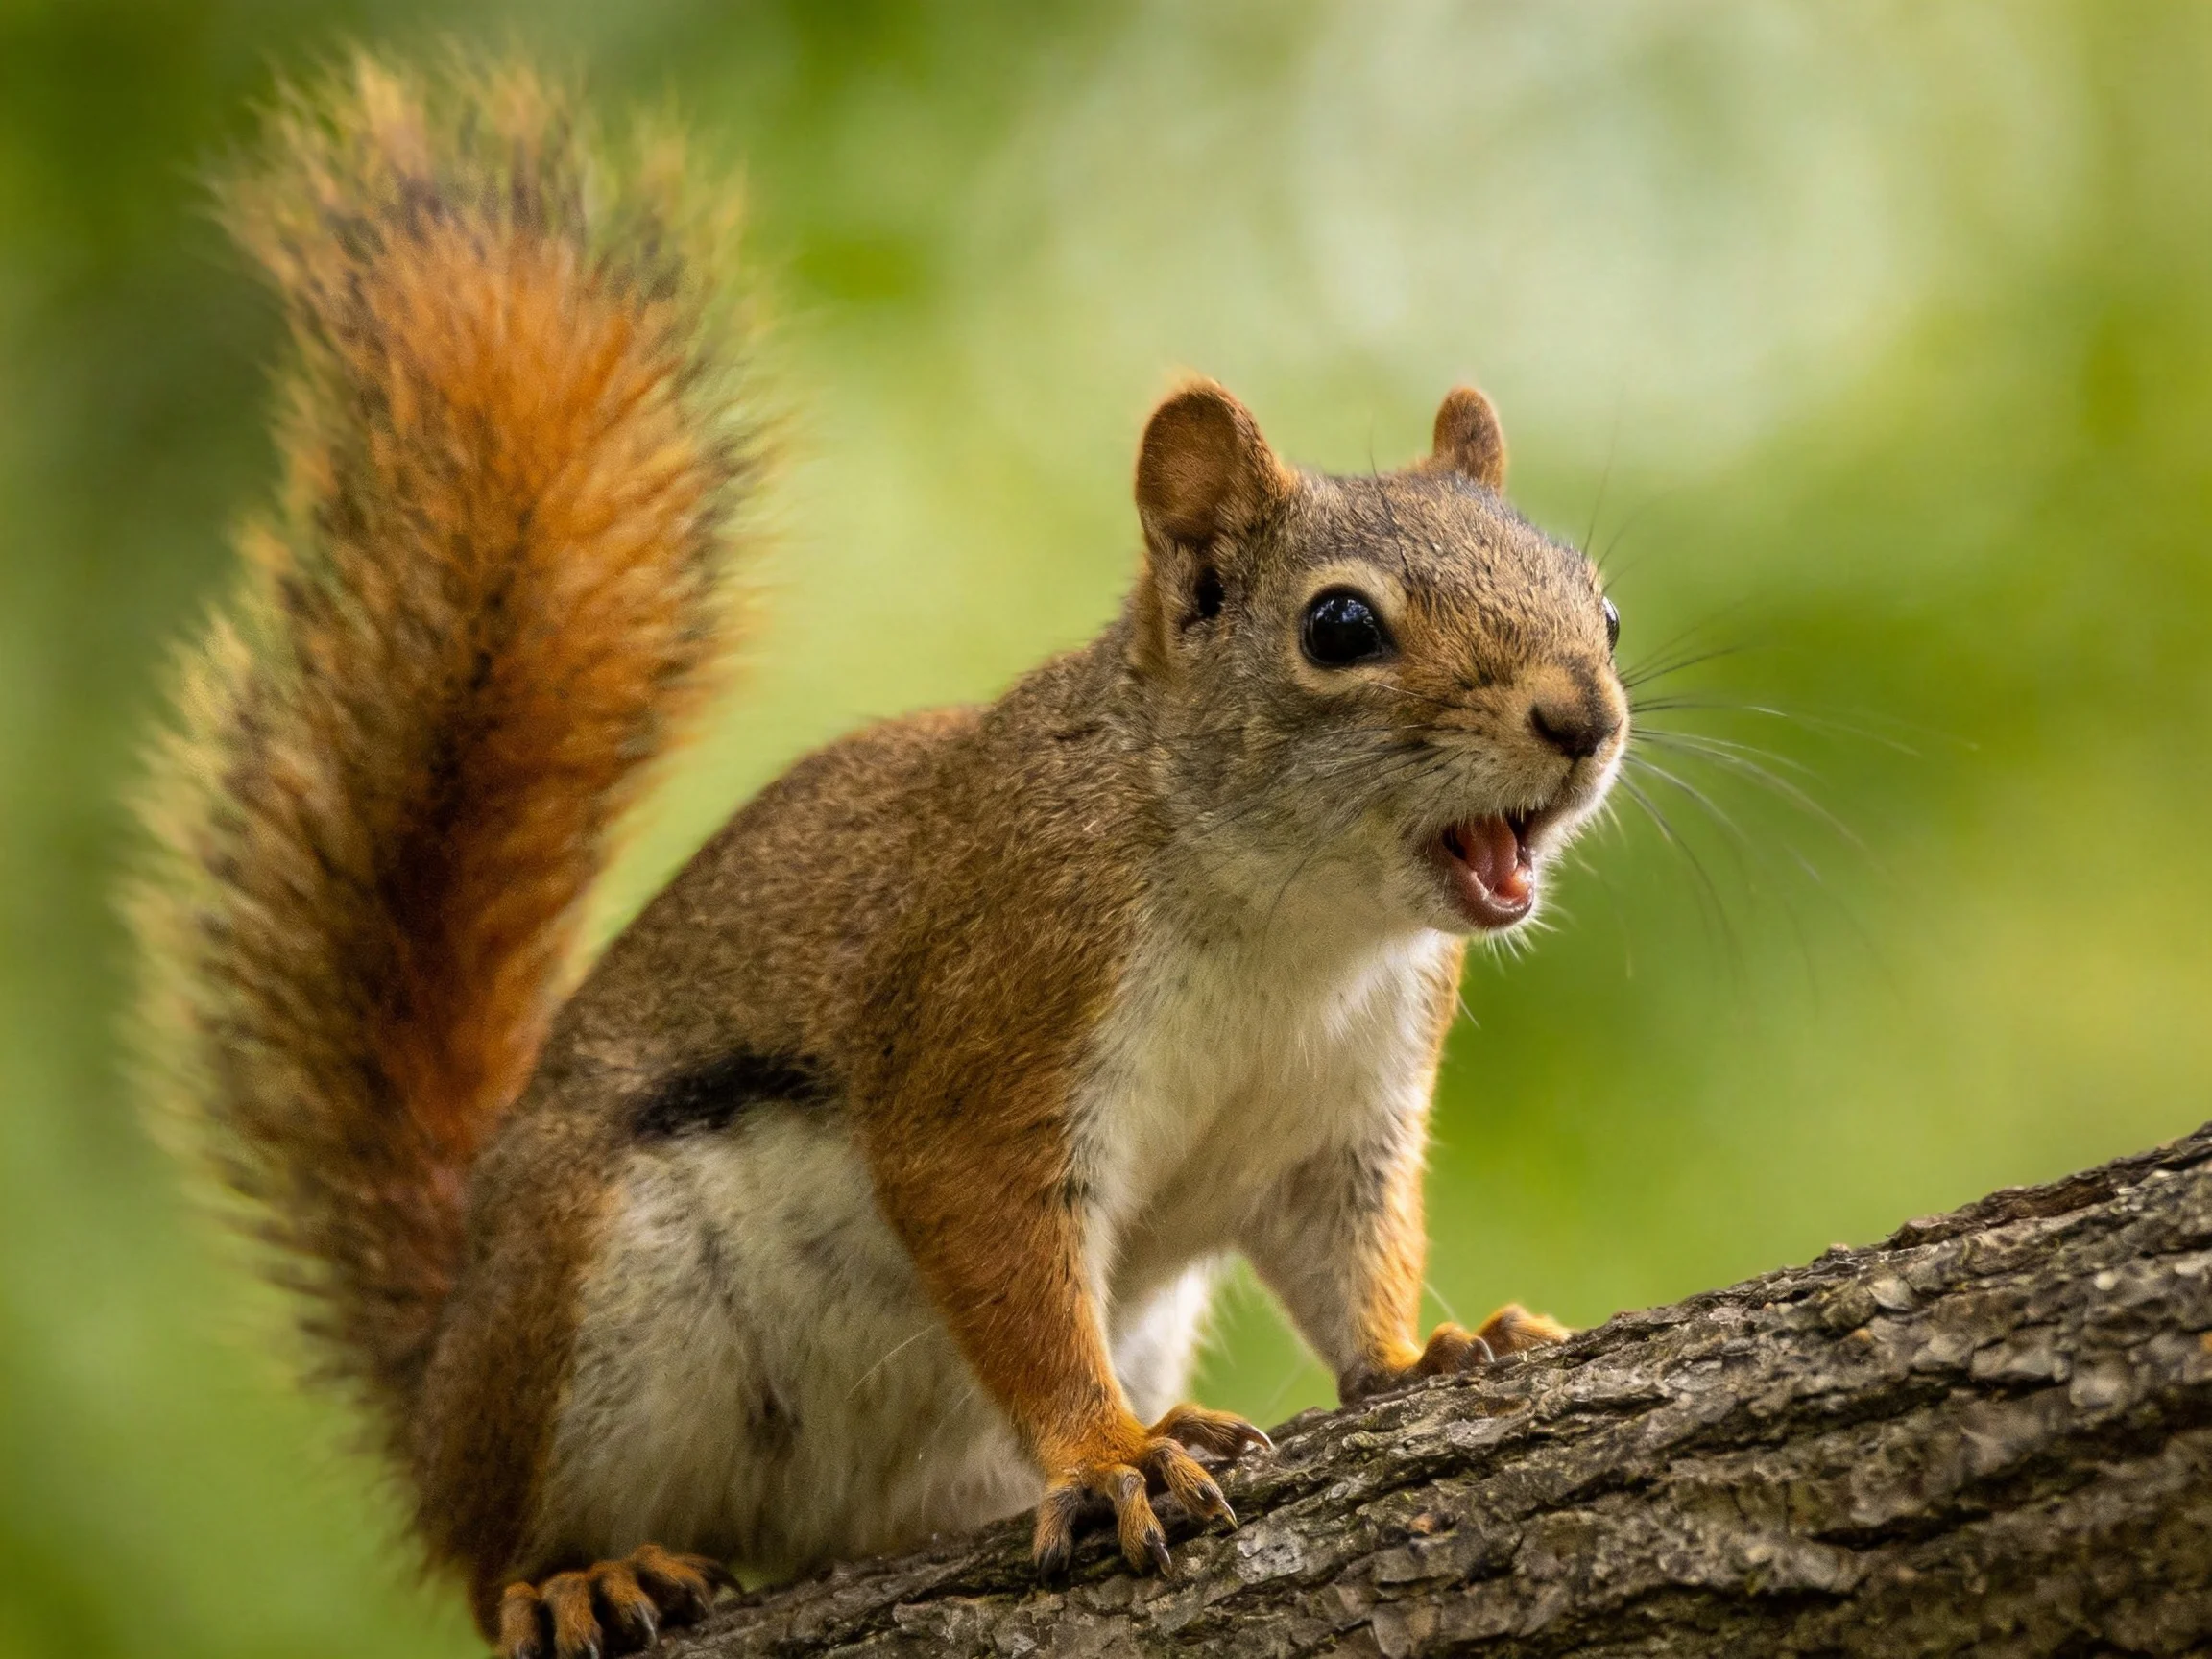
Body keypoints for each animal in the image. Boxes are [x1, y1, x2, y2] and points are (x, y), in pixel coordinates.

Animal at [132, 56, 1628, 1659]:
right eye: (1339, 626)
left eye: (1599, 607)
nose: (1586, 720)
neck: (1294, 918)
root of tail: (439, 1374)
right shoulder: (997, 1008)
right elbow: (1002, 1257)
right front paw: (1110, 1455)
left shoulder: (1342, 1119)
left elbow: (1350, 1262)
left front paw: (1426, 1354)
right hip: (577, 1308)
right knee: (486, 1556)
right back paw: (574, 1576)